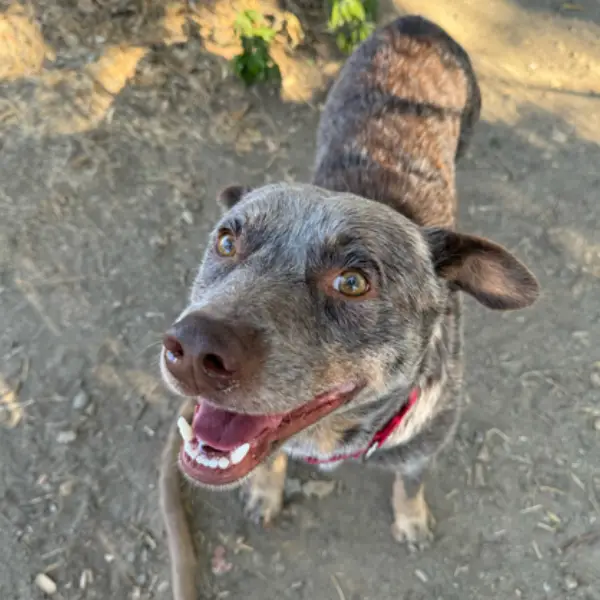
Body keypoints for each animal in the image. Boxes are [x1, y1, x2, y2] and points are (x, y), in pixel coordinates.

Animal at [158, 16, 540, 592]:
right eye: (226, 241)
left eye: (354, 281)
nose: (195, 350)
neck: (333, 437)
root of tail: (416, 21)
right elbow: (268, 461)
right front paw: (265, 492)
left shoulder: (421, 452)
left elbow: (409, 484)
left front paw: (411, 520)